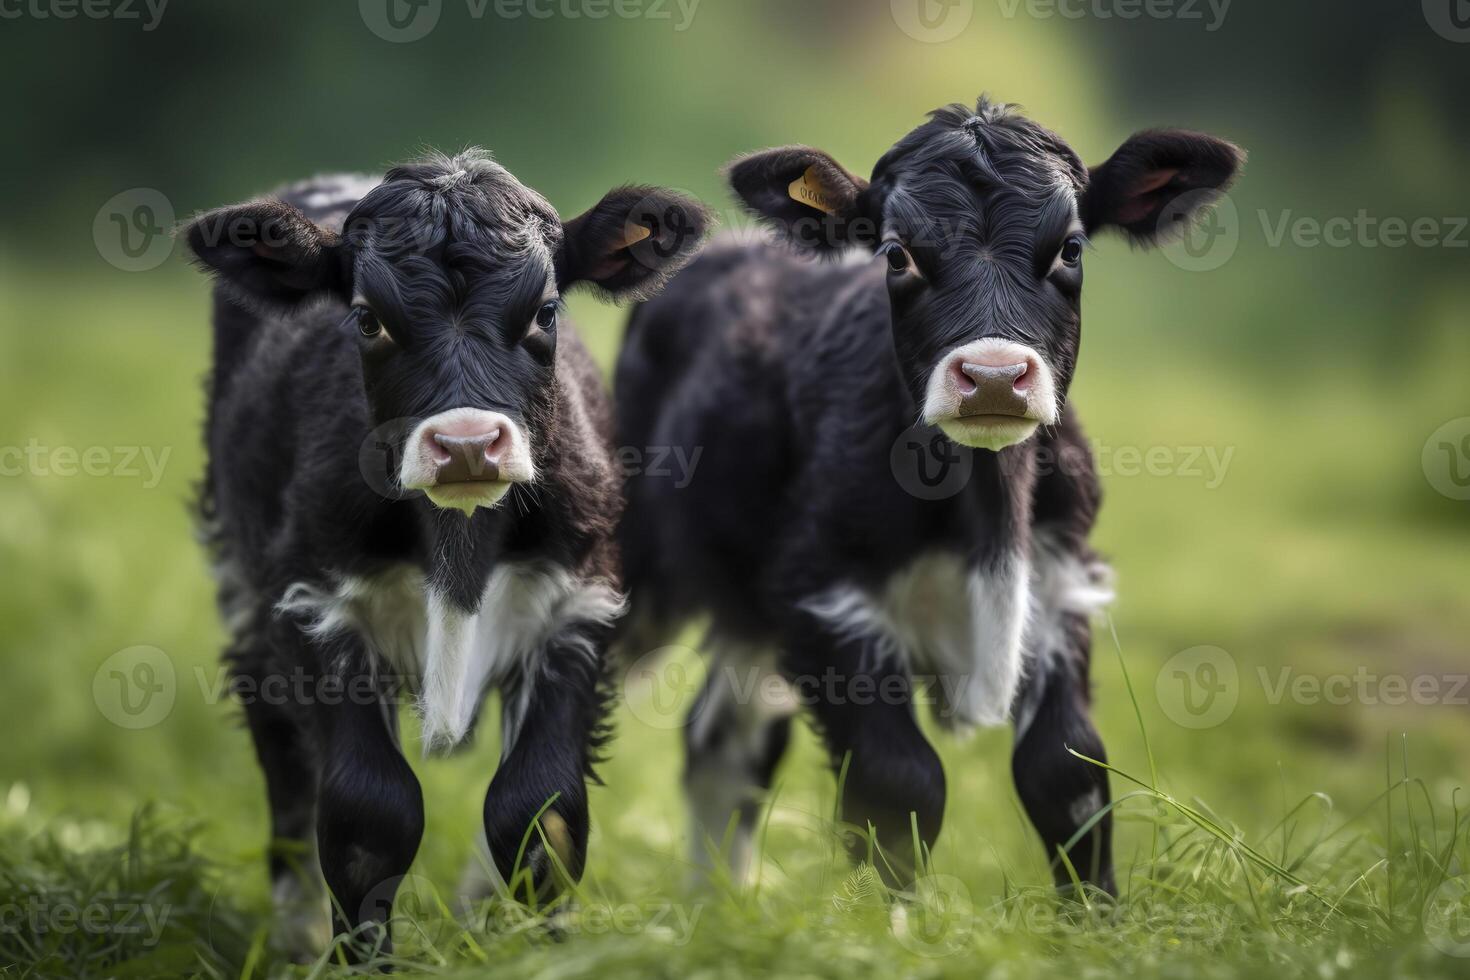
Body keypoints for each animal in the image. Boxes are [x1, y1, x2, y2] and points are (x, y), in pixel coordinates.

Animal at [183, 153, 711, 957]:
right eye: (367, 318)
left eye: (545, 311)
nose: (466, 444)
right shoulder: (312, 604)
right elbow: (368, 813)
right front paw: (359, 962)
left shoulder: (581, 605)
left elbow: (539, 808)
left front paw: (541, 954)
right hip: (243, 591)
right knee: (279, 750)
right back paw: (295, 936)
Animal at [614, 101, 1246, 899]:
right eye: (896, 255)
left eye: (1070, 249)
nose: (996, 375)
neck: (987, 520)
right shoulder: (821, 592)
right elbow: (899, 786)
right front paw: (892, 921)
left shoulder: (1063, 582)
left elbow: (1068, 773)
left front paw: (1096, 921)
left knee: (723, 742)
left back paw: (716, 908)